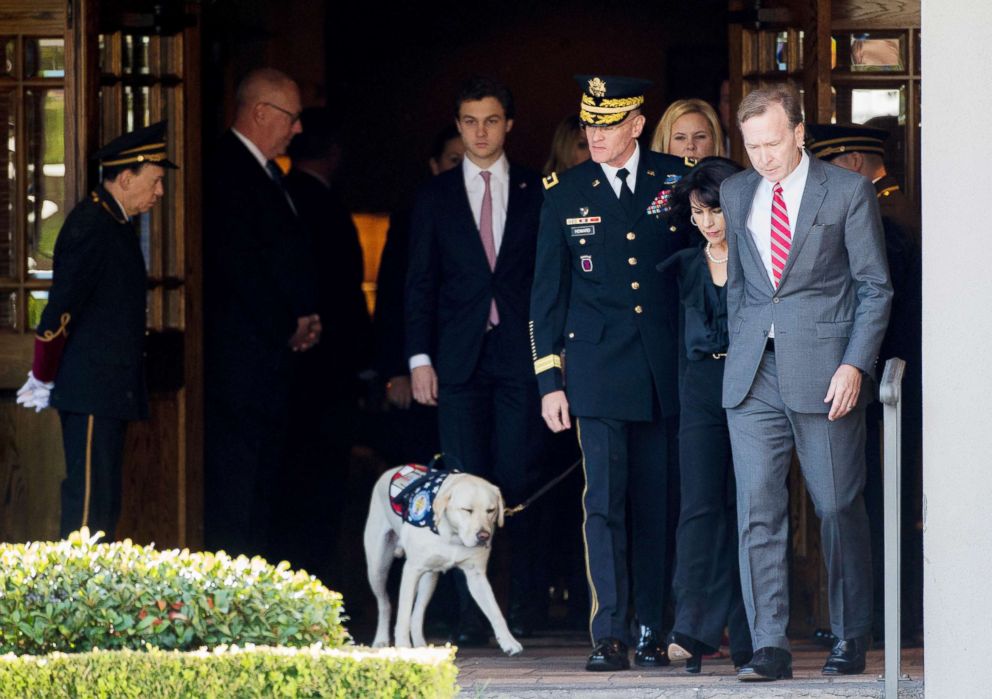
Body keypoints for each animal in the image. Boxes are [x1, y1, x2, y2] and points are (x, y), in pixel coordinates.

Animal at [360, 464, 524, 656]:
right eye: (467, 510)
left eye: (490, 511)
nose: (484, 536)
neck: (453, 536)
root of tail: (395, 469)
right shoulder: (411, 570)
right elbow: (403, 614)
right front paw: (403, 646)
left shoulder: (477, 576)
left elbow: (495, 612)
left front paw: (509, 642)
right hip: (377, 568)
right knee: (385, 604)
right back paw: (381, 639)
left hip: (429, 579)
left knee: (416, 614)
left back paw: (421, 646)